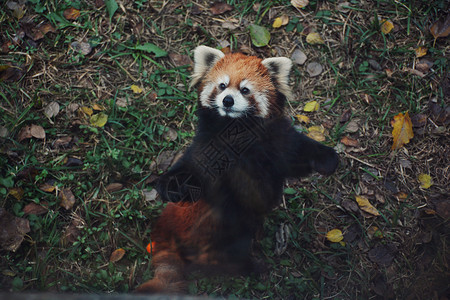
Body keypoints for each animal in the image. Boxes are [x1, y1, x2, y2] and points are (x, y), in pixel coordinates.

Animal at [135, 46, 340, 292]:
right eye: (222, 85)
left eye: (245, 89)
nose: (228, 100)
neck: (236, 131)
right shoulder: (209, 149)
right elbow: (193, 171)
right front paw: (171, 184)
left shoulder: (275, 143)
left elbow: (297, 154)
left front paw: (328, 159)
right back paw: (251, 267)